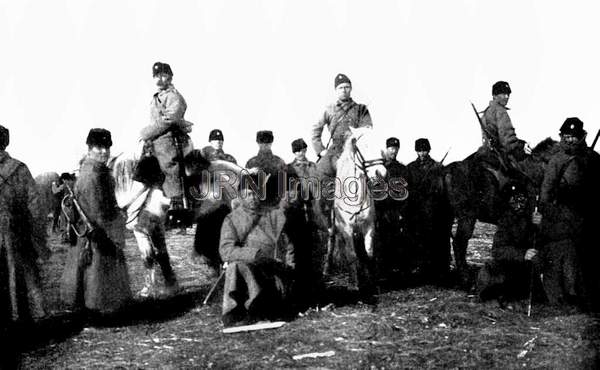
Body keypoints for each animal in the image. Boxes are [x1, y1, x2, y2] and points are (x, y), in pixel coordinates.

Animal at [330, 127, 386, 298]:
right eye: (364, 146)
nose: (381, 173)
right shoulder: (346, 229)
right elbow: (351, 255)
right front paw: (354, 285)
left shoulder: (368, 226)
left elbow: (368, 253)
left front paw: (371, 283)